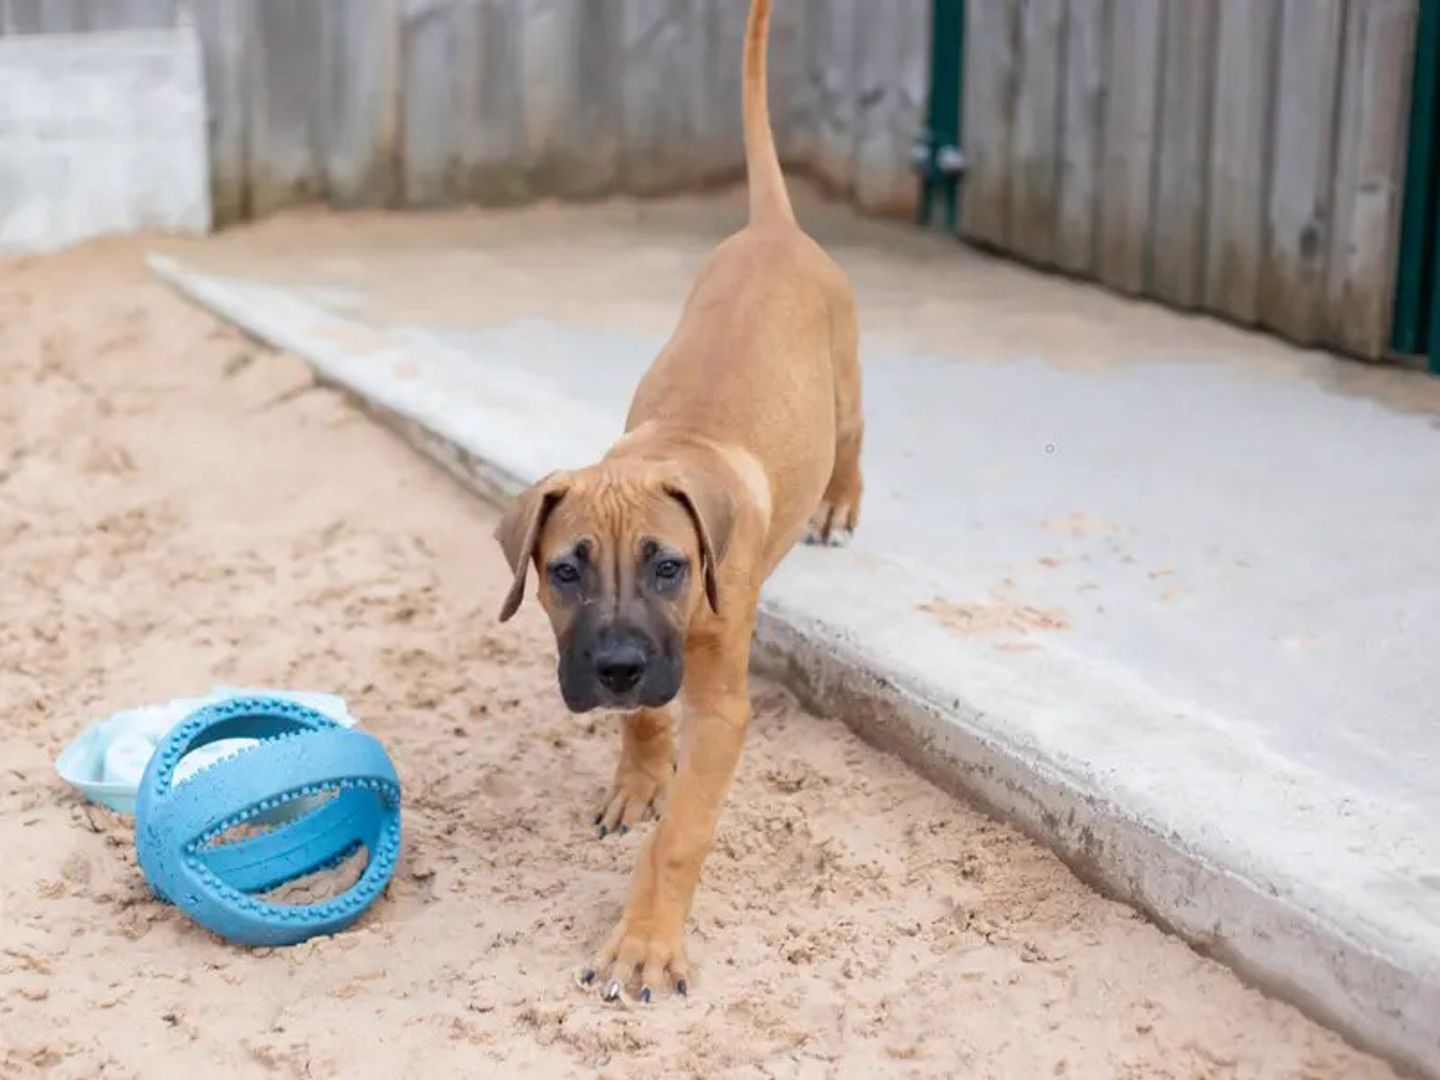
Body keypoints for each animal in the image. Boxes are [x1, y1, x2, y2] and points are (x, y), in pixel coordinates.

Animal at [495, 0, 858, 1002]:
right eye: (564, 572)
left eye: (669, 565)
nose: (614, 667)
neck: (673, 451)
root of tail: (774, 227)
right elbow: (646, 719)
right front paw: (637, 775)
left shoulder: (722, 706)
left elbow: (682, 836)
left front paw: (645, 945)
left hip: (847, 374)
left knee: (854, 440)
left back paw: (840, 503)